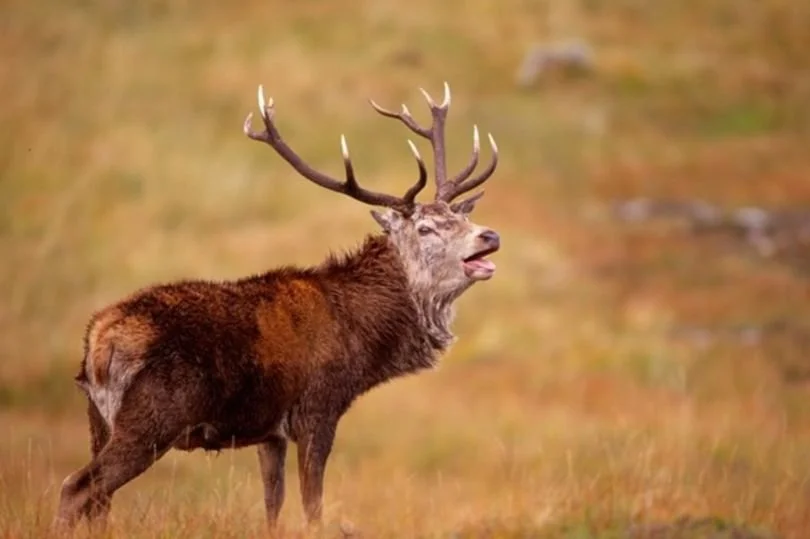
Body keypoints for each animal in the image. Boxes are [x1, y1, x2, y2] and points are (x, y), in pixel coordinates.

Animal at [54, 81, 501, 532]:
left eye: (461, 217)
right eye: (425, 228)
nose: (489, 235)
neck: (363, 340)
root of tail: (98, 343)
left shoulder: (270, 432)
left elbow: (274, 504)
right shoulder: (318, 409)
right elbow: (312, 505)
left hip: (98, 419)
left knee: (100, 500)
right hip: (153, 417)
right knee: (78, 487)